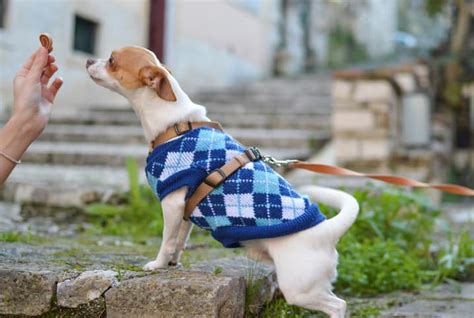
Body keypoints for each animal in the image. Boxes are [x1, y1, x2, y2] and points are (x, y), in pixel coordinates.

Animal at [86, 46, 360, 316]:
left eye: (112, 60)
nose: (88, 60)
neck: (176, 125)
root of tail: (327, 230)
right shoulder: (184, 211)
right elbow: (179, 240)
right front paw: (173, 263)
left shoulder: (171, 204)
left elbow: (166, 240)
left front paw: (158, 264)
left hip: (299, 288)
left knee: (339, 305)